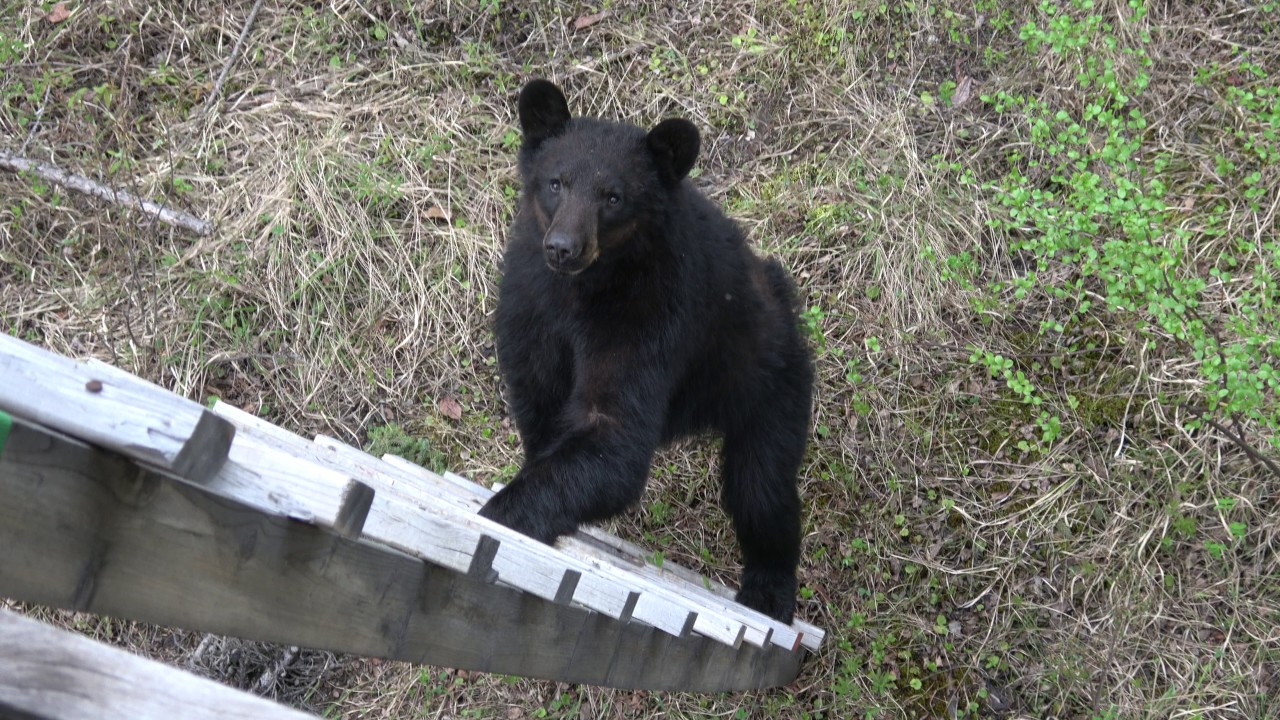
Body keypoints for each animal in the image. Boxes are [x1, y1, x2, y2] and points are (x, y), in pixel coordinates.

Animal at [481, 77, 808, 617]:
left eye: (613, 196)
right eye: (556, 182)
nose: (564, 247)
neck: (587, 288)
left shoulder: (650, 312)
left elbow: (614, 428)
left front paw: (504, 509)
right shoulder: (530, 298)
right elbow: (539, 394)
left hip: (770, 385)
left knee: (762, 489)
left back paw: (768, 590)